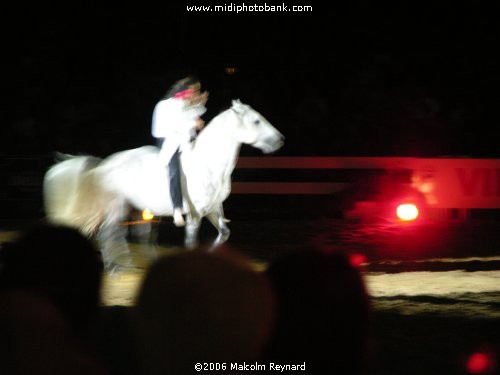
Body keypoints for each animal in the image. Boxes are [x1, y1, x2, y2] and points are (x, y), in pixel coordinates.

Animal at [42, 100, 286, 270]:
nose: (280, 140)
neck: (208, 164)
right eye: (256, 121)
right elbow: (191, 242)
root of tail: (105, 163)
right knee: (108, 233)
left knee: (128, 235)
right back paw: (115, 269)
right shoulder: (195, 214)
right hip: (117, 206)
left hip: (136, 208)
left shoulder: (214, 209)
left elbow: (224, 233)